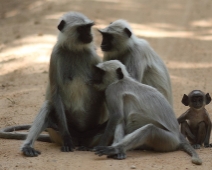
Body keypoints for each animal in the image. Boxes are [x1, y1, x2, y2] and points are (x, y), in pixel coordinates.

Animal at [0, 11, 107, 157]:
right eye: (81, 29)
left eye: (88, 27)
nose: (89, 35)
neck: (74, 50)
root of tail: (81, 138)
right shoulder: (55, 55)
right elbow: (55, 92)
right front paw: (67, 139)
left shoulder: (94, 57)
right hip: (57, 133)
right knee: (48, 106)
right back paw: (28, 147)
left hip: (90, 135)